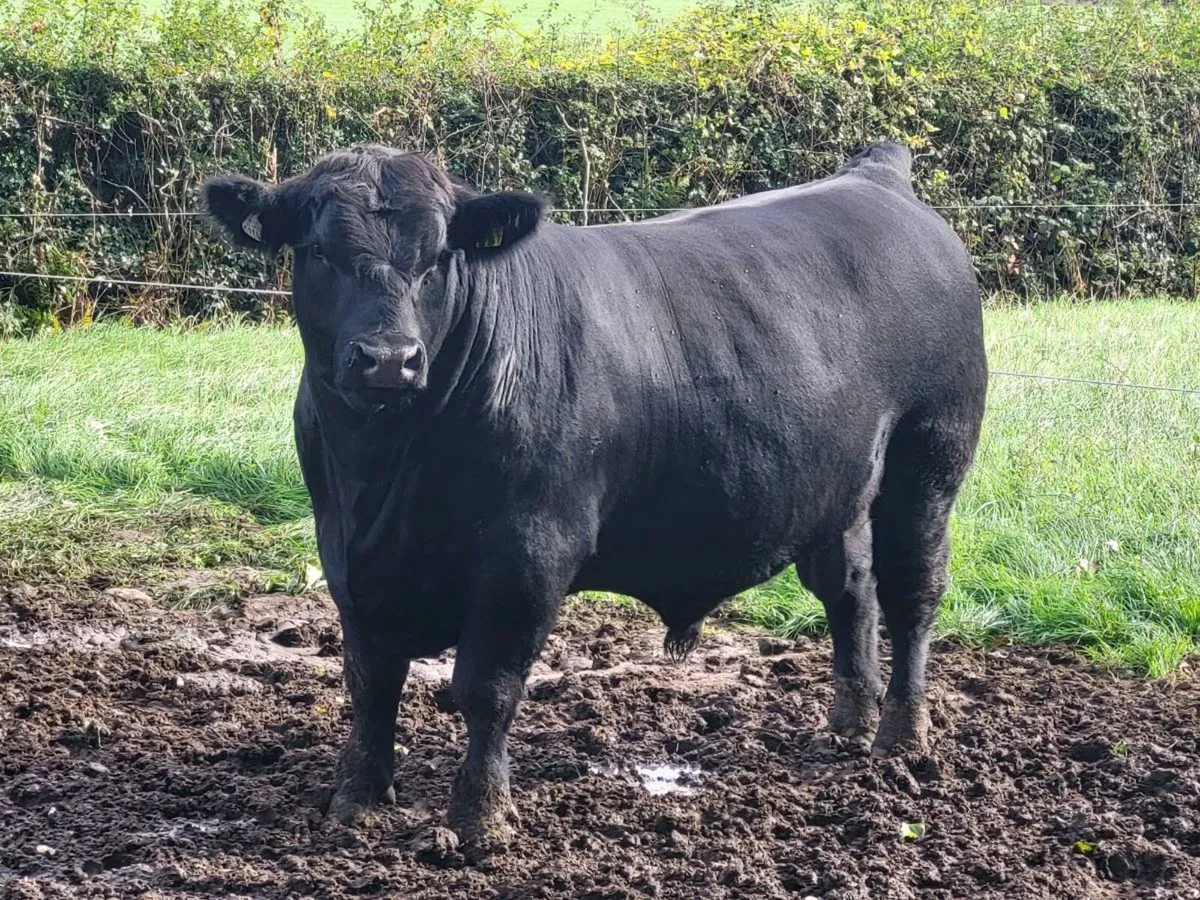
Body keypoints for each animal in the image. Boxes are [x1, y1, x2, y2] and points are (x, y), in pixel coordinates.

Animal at [201, 140, 987, 854]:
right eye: (319, 253)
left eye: (439, 258)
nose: (389, 359)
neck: (383, 469)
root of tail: (874, 175)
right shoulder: (346, 553)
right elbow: (369, 681)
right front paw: (358, 801)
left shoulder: (528, 553)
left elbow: (486, 686)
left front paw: (480, 820)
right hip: (839, 487)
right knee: (849, 588)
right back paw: (850, 723)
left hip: (930, 460)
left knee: (914, 591)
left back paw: (901, 735)